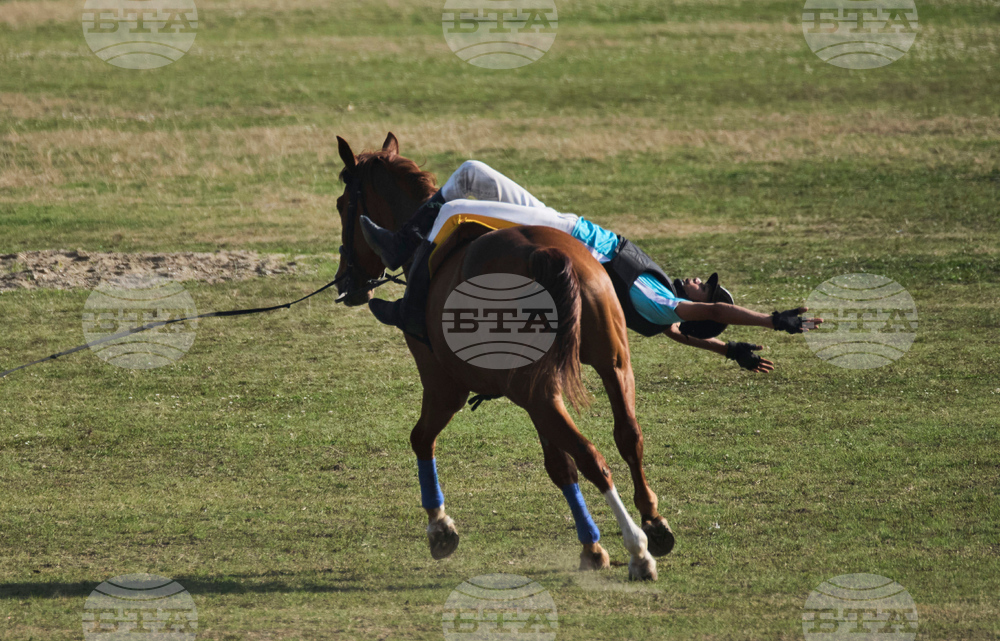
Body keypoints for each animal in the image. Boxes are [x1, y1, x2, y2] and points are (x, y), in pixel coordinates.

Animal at [333, 133, 674, 580]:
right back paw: (653, 523)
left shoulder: (445, 387)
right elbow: (559, 465)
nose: (344, 281)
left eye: (342, 205)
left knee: (593, 457)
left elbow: (421, 438)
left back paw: (638, 549)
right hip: (608, 367)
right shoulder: (545, 392)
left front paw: (440, 528)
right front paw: (591, 546)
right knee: (628, 437)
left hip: (533, 392)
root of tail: (548, 255)